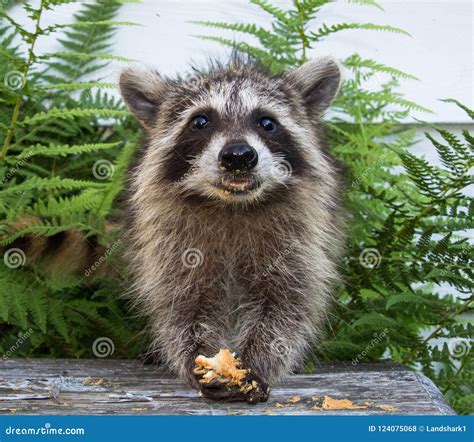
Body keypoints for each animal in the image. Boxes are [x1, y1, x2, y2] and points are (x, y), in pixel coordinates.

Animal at [118, 57, 344, 404]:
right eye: (200, 121)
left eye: (266, 122)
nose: (238, 156)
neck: (233, 205)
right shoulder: (171, 243)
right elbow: (182, 305)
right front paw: (196, 355)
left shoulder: (299, 239)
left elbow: (287, 305)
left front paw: (256, 363)